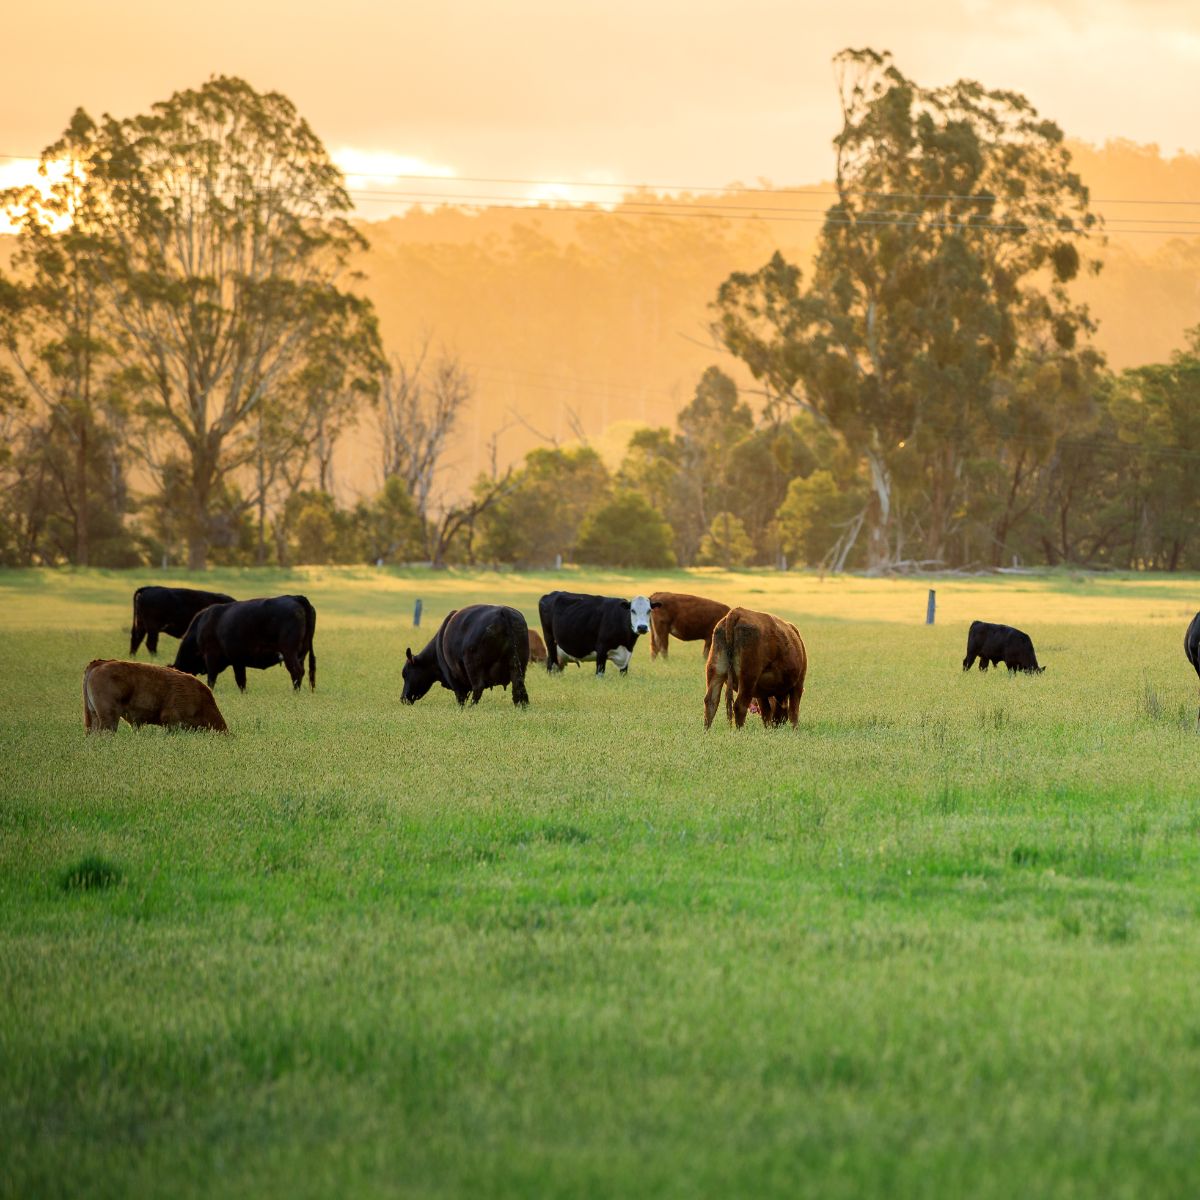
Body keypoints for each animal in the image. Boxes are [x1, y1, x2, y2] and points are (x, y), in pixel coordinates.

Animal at [174, 592, 316, 691]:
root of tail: (295, 597)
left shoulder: (211, 655)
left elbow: (211, 678)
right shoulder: (237, 660)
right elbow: (241, 681)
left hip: (289, 651)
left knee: (297, 671)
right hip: (301, 653)